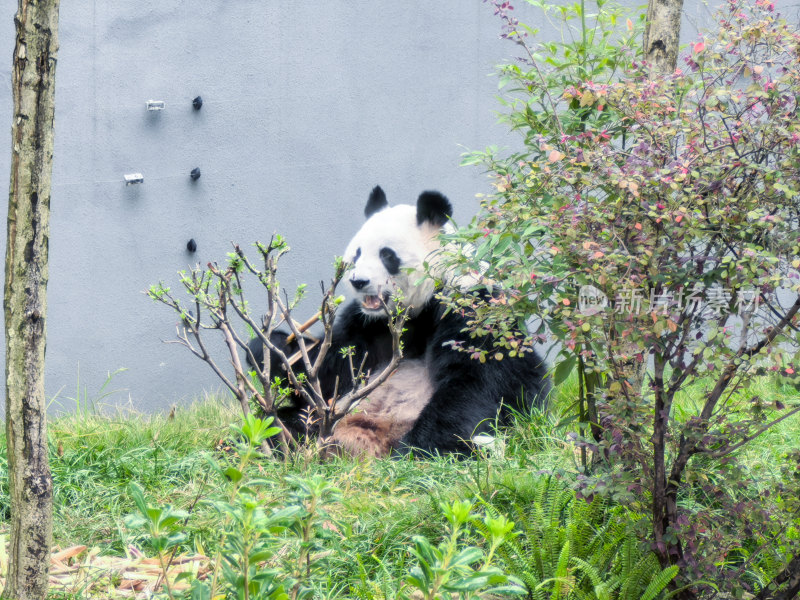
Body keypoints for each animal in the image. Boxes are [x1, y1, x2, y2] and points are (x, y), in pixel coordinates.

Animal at [250, 185, 552, 458]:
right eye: (357, 253)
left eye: (387, 254)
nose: (359, 281)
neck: (418, 308)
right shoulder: (368, 324)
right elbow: (329, 370)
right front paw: (273, 350)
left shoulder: (471, 308)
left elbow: (476, 380)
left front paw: (421, 449)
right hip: (327, 417)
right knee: (281, 422)